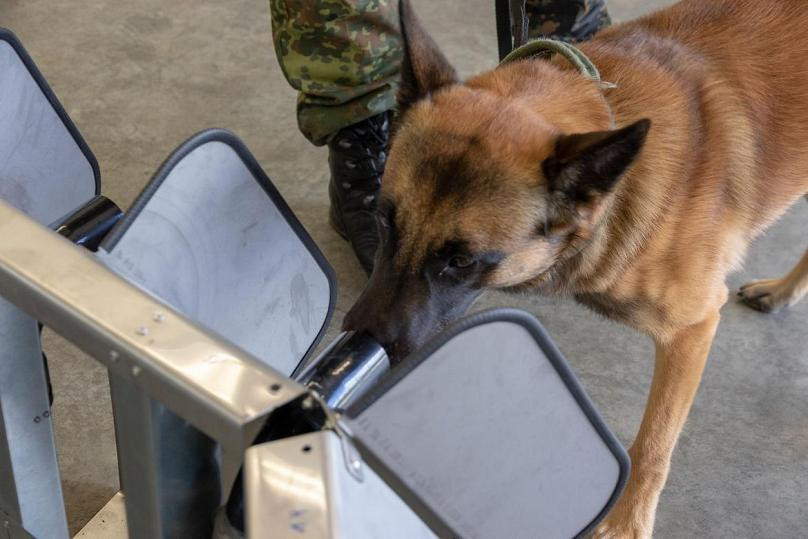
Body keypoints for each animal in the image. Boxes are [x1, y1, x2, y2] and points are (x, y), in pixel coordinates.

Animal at [344, 0, 808, 536]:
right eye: (384, 219)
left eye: (461, 261)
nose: (357, 347)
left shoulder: (693, 329)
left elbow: (654, 444)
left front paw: (627, 521)